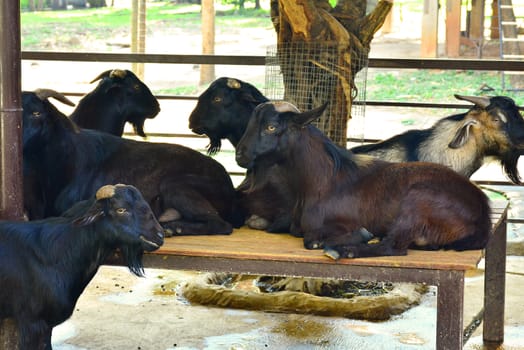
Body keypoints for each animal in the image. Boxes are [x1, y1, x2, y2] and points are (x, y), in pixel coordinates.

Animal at [235, 100, 494, 258]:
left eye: (271, 127)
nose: (240, 155)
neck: (324, 179)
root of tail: (482, 212)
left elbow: (310, 239)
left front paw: (358, 235)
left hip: (418, 201)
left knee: (394, 247)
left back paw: (346, 250)